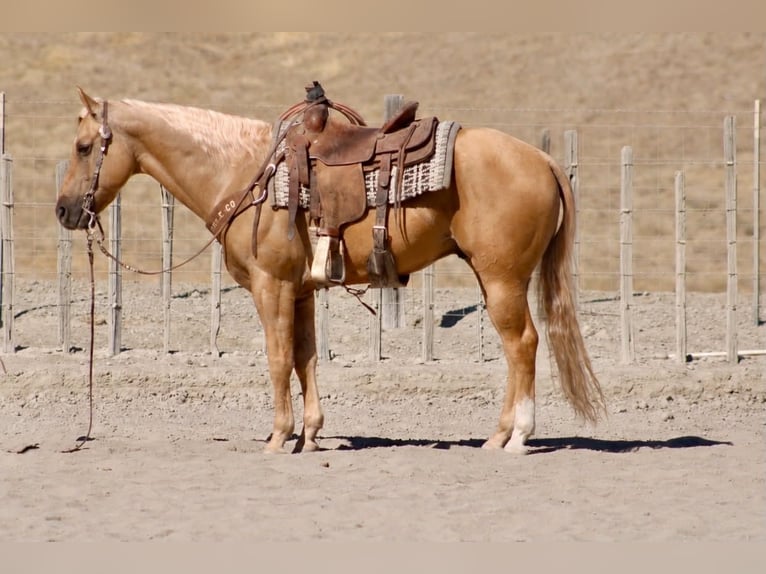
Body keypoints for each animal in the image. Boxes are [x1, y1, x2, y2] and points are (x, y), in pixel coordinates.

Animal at [55, 87, 605, 454]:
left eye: (83, 147)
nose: (63, 211)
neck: (244, 171)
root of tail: (541, 160)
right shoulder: (299, 290)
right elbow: (306, 358)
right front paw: (311, 435)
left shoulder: (270, 286)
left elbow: (278, 359)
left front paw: (278, 437)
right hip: (495, 280)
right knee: (518, 348)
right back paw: (497, 436)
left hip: (502, 279)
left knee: (523, 344)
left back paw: (516, 437)